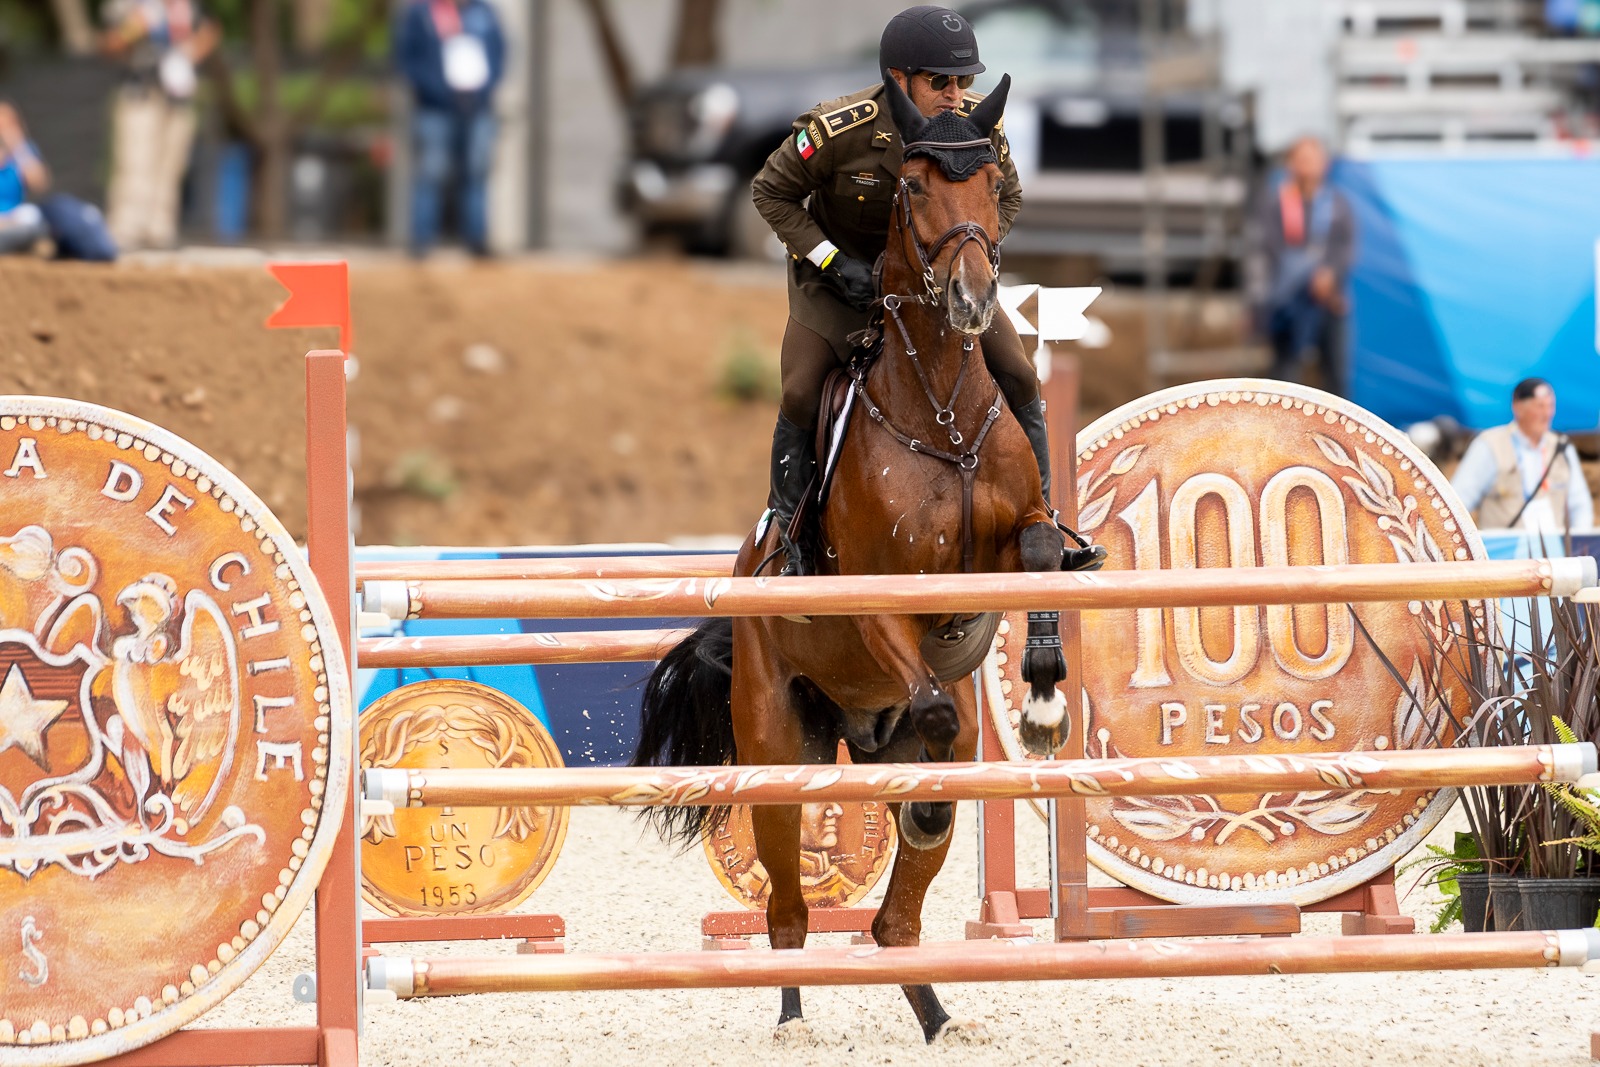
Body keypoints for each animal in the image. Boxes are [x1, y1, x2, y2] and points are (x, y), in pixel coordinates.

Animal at [633, 73, 1075, 1043]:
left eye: (994, 183)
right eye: (910, 186)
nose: (972, 298)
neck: (941, 407)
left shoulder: (1015, 534)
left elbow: (1039, 555)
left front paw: (1045, 702)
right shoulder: (881, 599)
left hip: (899, 744)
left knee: (894, 922)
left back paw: (940, 1015)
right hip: (779, 747)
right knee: (790, 910)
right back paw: (795, 1016)